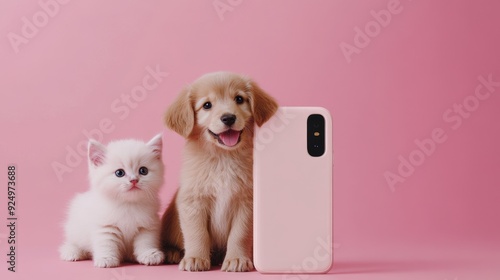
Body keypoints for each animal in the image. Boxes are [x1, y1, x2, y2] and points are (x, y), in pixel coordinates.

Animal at [60, 135, 166, 268]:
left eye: (143, 171)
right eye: (119, 173)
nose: (134, 180)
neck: (128, 205)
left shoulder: (147, 226)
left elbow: (146, 241)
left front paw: (149, 254)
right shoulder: (105, 227)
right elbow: (107, 243)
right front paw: (106, 259)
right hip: (74, 229)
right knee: (73, 242)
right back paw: (72, 252)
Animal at [160, 72, 278, 272]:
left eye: (239, 99)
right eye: (207, 105)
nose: (228, 118)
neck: (223, 158)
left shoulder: (246, 204)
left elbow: (240, 235)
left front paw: (236, 259)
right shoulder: (193, 202)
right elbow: (197, 233)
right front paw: (195, 258)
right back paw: (172, 252)